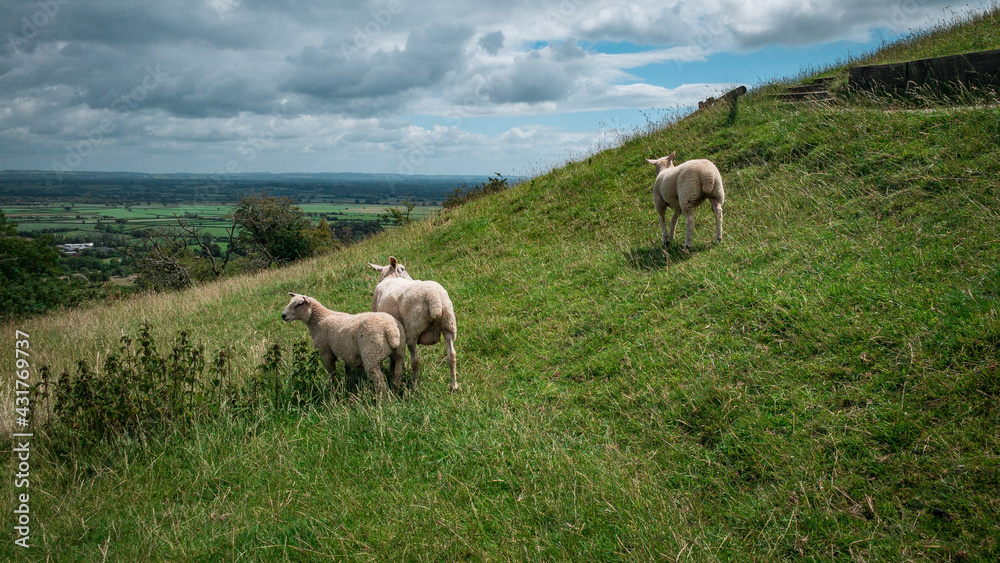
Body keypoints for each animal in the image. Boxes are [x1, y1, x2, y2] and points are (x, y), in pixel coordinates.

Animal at [368, 257, 458, 393]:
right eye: (403, 269)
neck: (389, 277)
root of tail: (434, 298)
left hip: (413, 330)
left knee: (415, 361)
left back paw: (414, 387)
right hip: (449, 324)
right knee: (451, 355)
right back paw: (453, 386)